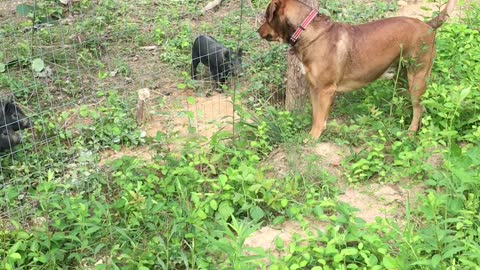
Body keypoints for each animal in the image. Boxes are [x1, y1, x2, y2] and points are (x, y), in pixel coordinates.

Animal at [258, 0, 458, 139]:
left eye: (266, 16)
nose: (258, 31)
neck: (307, 31)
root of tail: (428, 25)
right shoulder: (314, 88)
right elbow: (317, 115)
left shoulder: (325, 90)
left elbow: (319, 117)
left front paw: (313, 138)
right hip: (402, 76)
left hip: (417, 76)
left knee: (419, 108)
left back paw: (410, 131)